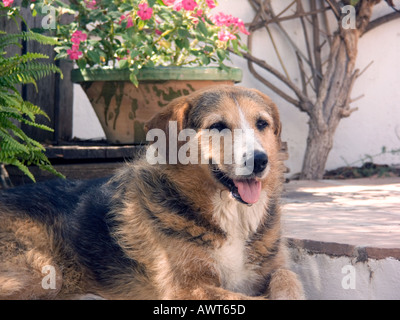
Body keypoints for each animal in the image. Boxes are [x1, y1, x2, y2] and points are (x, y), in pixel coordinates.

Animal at [0, 85, 304, 300]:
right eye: (218, 126)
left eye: (262, 124)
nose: (260, 160)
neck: (233, 216)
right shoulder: (188, 289)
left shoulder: (276, 268)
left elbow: (289, 279)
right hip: (43, 272)